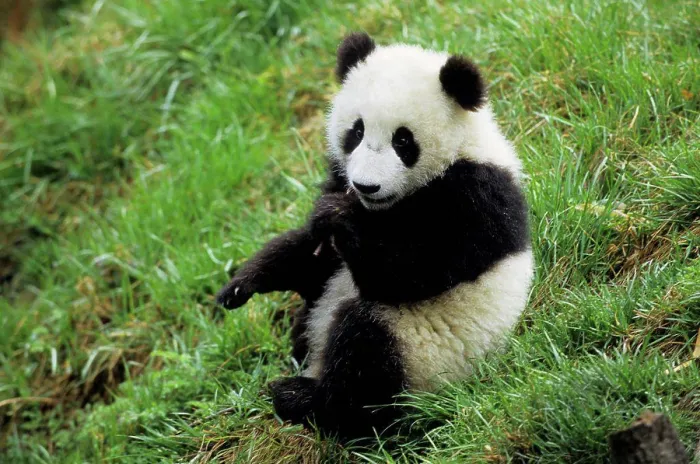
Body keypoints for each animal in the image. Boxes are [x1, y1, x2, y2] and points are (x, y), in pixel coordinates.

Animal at [216, 32, 533, 439]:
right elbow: (311, 253)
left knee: (365, 352)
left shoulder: (474, 201)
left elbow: (407, 272)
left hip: (425, 351)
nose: (366, 185)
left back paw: (303, 399)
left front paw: (339, 218)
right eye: (357, 131)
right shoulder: (340, 179)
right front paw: (240, 285)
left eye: (403, 141)